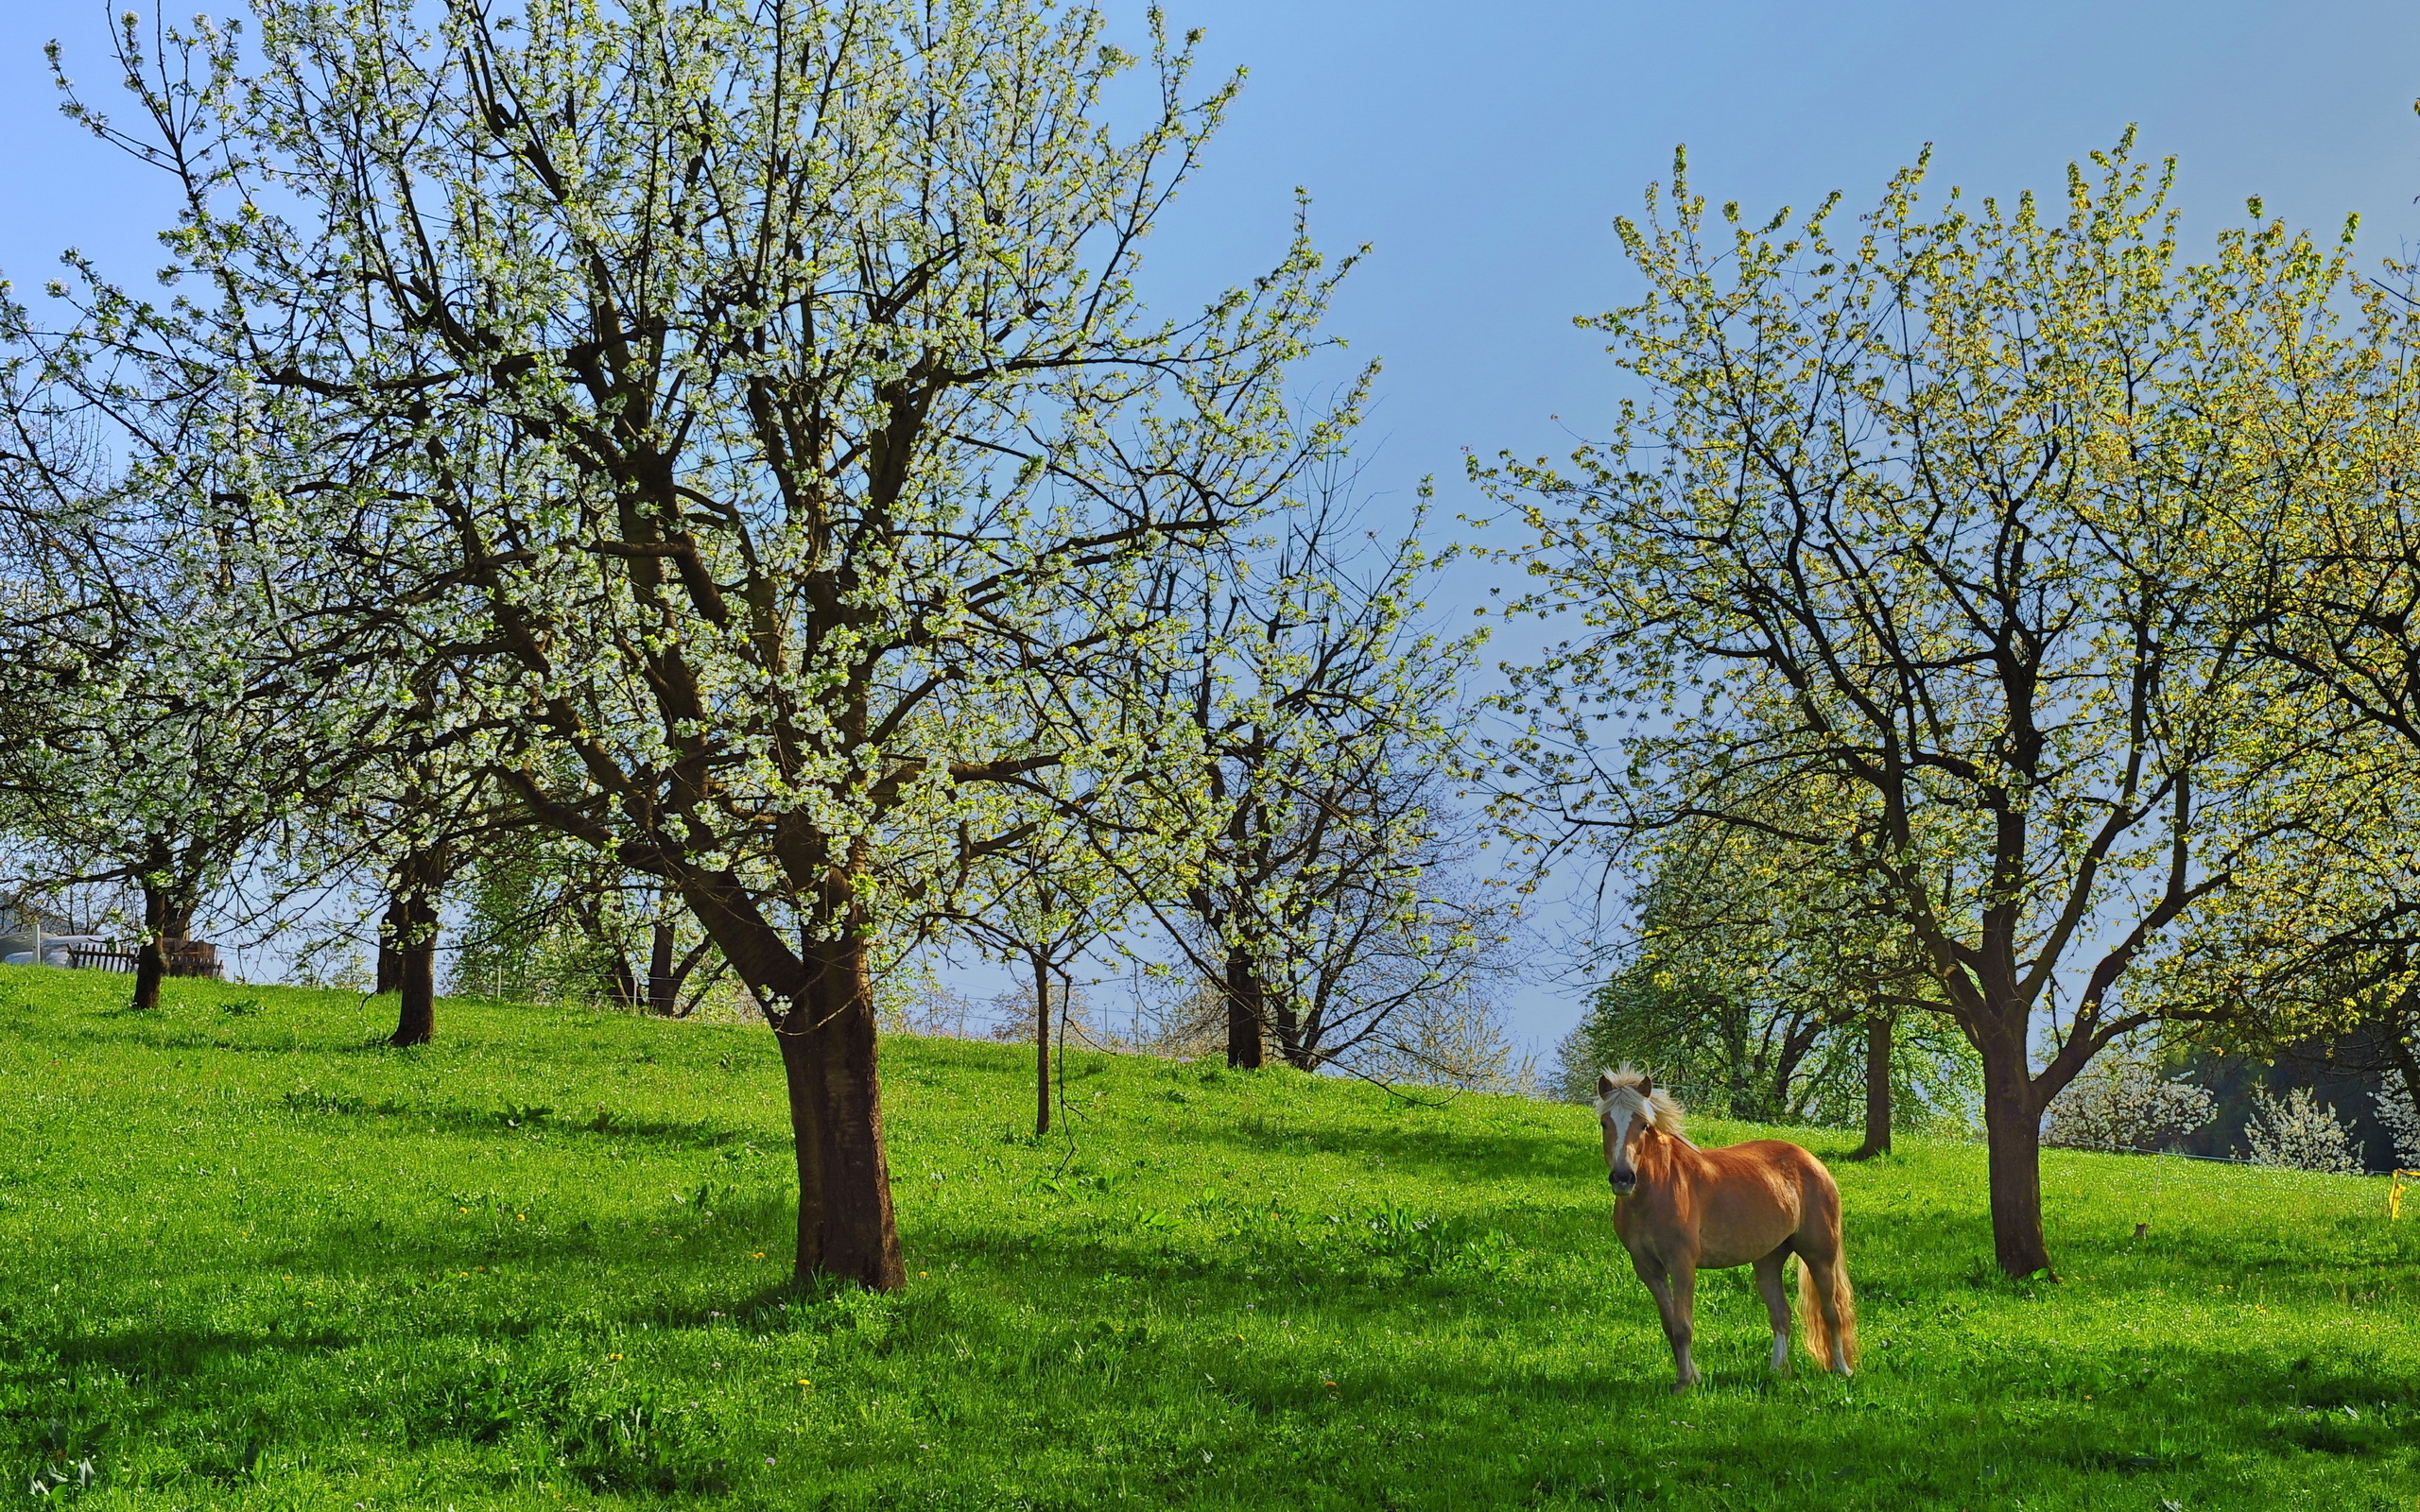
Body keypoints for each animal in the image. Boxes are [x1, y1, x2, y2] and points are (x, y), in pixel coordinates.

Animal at [1587, 1059, 1848, 1393]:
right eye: (1605, 1123)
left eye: (1643, 1125)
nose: (1622, 1178)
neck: (1657, 1189)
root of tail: (1814, 1163)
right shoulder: (1647, 1268)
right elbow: (1669, 1324)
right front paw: (1693, 1376)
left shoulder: (1682, 1264)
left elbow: (1683, 1325)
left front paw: (1683, 1383)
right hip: (1768, 1259)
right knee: (1781, 1315)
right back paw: (1778, 1371)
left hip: (1819, 1255)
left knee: (1832, 1312)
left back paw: (1841, 1369)